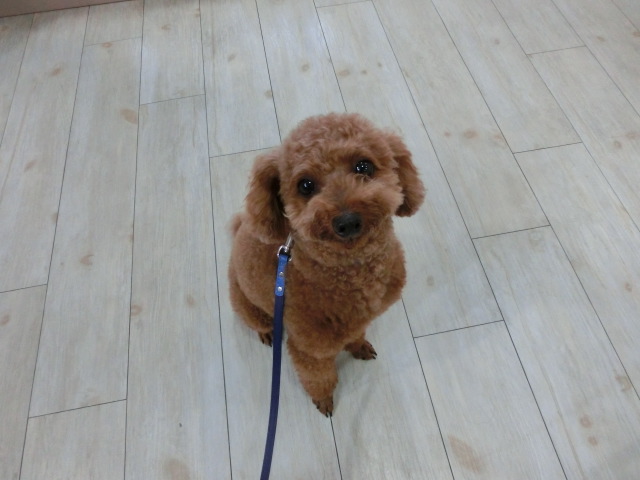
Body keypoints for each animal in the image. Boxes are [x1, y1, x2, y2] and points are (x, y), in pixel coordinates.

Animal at [228, 113, 425, 416]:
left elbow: (356, 336)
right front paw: (323, 400)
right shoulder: (310, 348)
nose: (347, 221)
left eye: (364, 166)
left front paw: (359, 347)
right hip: (247, 305)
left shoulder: (358, 323)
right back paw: (267, 333)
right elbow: (318, 376)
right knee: (257, 322)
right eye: (305, 185)